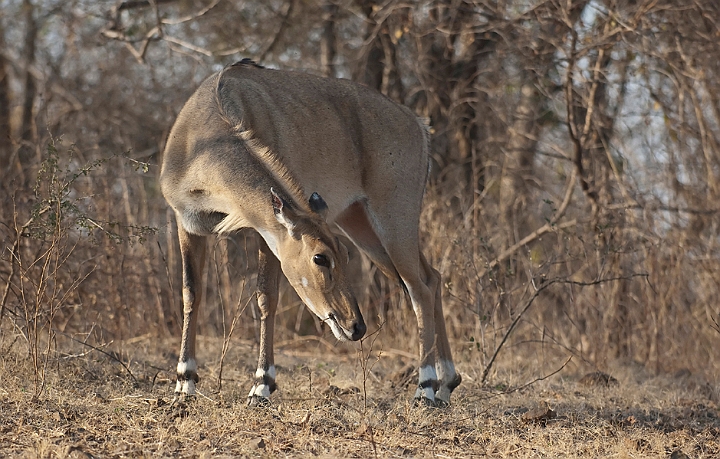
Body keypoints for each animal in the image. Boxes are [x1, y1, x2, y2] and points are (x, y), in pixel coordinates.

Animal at [160, 60, 462, 406]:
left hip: (395, 218)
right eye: (322, 257)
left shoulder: (265, 231)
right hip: (360, 224)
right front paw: (185, 382)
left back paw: (425, 388)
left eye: (341, 255)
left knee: (419, 287)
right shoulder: (186, 223)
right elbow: (190, 293)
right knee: (431, 277)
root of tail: (419, 125)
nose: (356, 326)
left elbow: (265, 297)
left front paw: (262, 386)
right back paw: (446, 384)